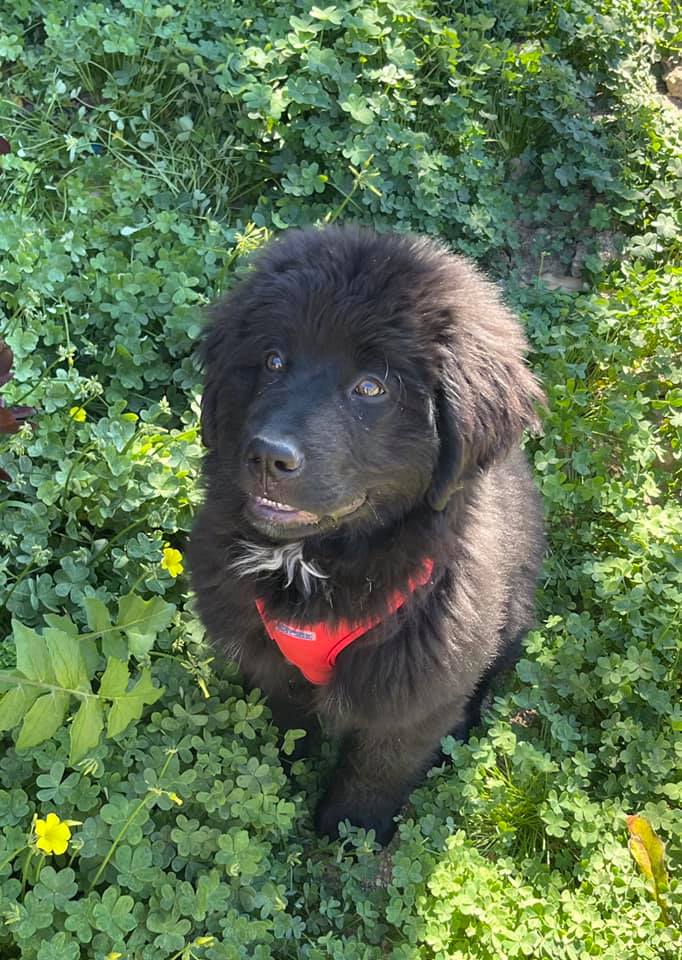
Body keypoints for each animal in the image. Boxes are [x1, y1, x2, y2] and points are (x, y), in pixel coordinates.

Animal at [189, 223, 544, 840]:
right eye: (273, 360)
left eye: (372, 388)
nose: (267, 456)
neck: (311, 566)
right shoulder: (270, 663)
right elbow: (291, 723)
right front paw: (288, 776)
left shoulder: (418, 688)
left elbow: (378, 771)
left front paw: (349, 833)